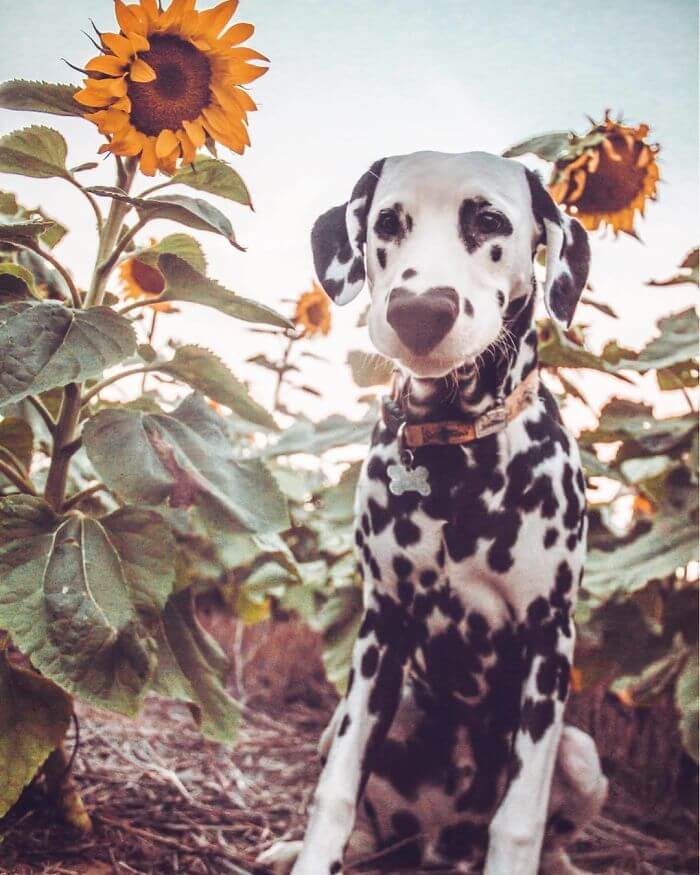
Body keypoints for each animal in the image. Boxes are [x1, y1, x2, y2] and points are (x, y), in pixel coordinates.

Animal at [258, 152, 608, 875]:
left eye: (490, 221)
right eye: (388, 222)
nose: (420, 310)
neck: (457, 457)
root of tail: (442, 840)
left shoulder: (548, 638)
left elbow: (521, 823)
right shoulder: (380, 630)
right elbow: (337, 789)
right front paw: (310, 852)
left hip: (583, 754)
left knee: (553, 836)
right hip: (352, 716)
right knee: (365, 818)